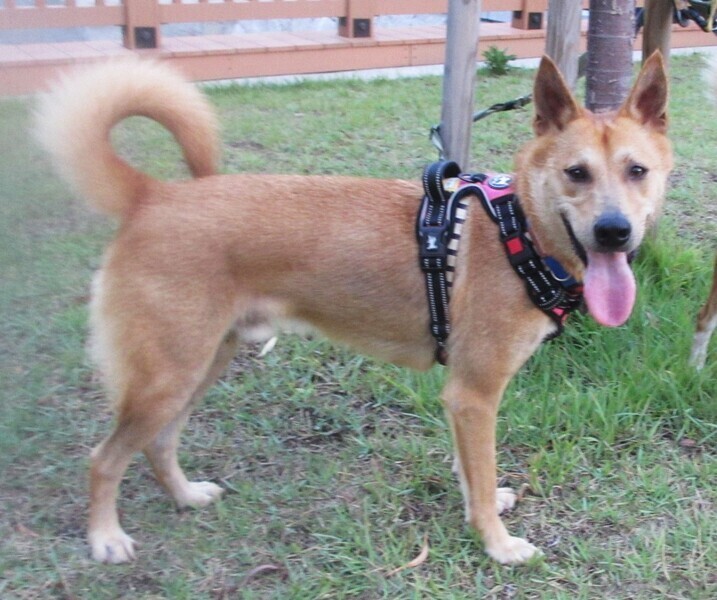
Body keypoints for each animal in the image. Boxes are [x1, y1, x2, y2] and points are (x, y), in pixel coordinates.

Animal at [35, 52, 672, 565]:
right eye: (576, 173)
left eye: (637, 171)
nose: (614, 232)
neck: (521, 231)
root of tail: (154, 196)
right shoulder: (474, 393)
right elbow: (481, 474)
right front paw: (496, 544)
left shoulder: (460, 401)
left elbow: (471, 474)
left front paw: (483, 505)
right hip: (166, 376)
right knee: (104, 459)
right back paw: (105, 538)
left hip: (199, 366)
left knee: (159, 444)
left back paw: (186, 497)